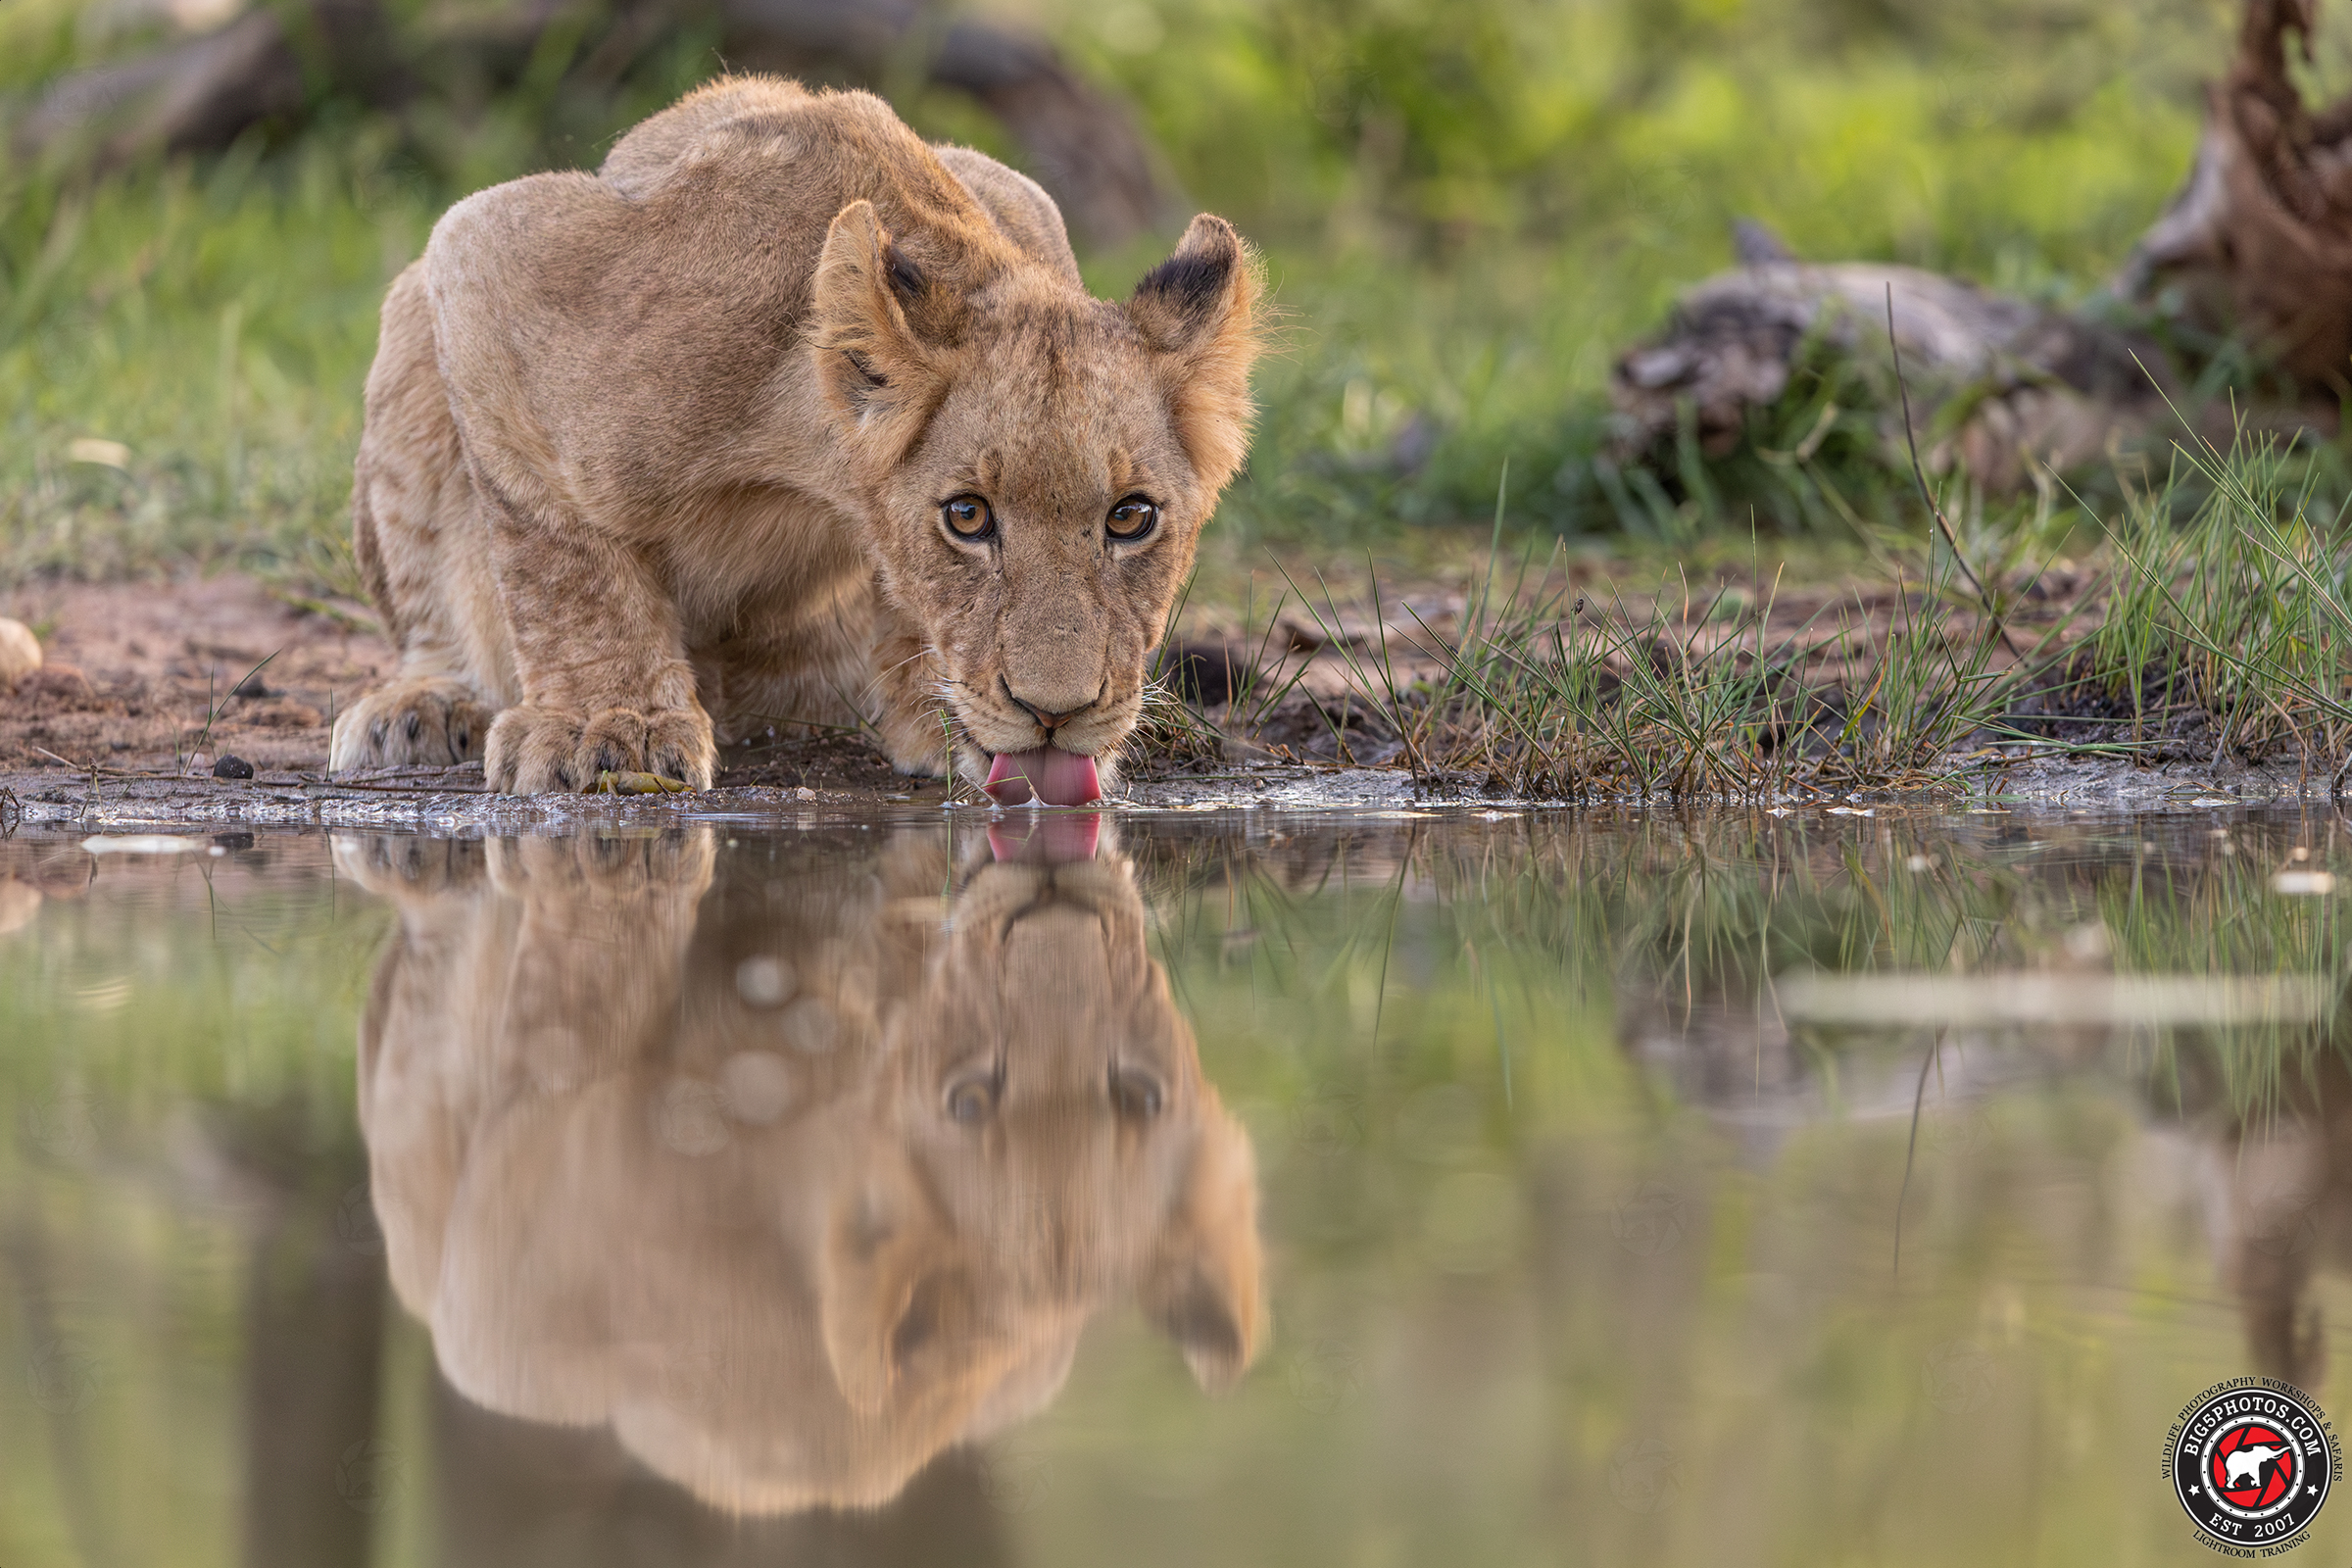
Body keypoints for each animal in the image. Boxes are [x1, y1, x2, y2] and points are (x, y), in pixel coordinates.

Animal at [327, 76, 1262, 801]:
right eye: (966, 517)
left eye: (1131, 518)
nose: (1055, 716)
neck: (804, 458)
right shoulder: (494, 255)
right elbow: (562, 562)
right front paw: (611, 726)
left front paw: (929, 714)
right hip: (407, 325)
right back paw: (423, 710)